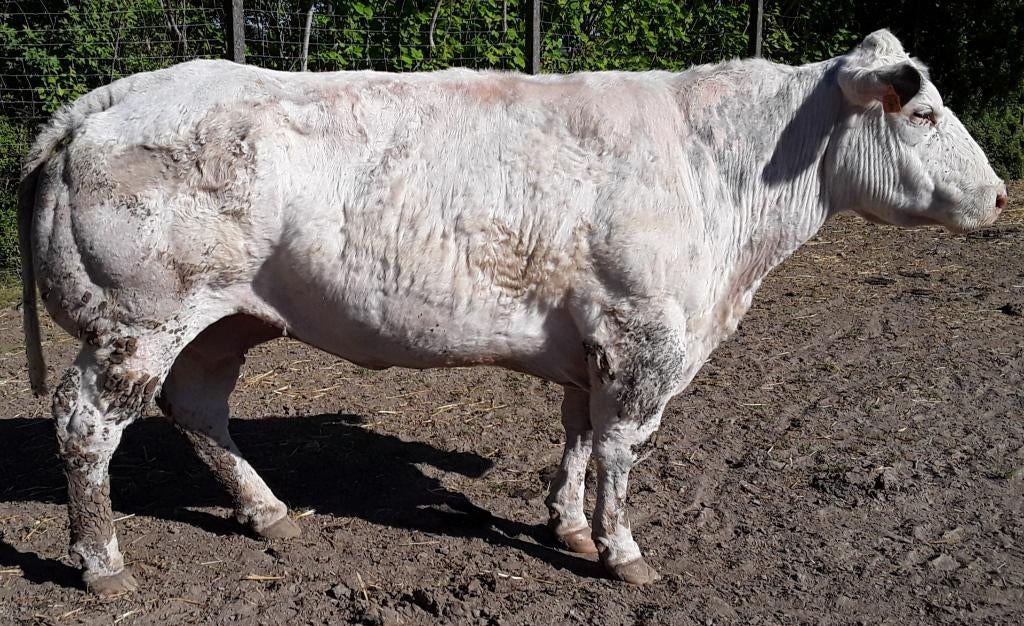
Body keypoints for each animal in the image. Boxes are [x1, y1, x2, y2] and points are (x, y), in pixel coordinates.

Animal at [19, 29, 1005, 596]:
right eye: (921, 112)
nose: (998, 195)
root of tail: (108, 101)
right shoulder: (647, 337)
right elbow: (620, 451)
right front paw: (620, 550)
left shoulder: (592, 340)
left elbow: (576, 434)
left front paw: (566, 523)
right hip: (139, 319)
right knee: (85, 424)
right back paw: (103, 565)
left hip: (225, 318)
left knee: (198, 407)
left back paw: (267, 514)